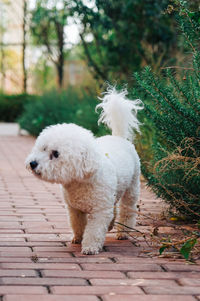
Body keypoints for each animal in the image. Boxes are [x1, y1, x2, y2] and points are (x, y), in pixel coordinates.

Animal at [25, 86, 143, 253]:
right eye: (43, 148)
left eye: (56, 153)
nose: (33, 163)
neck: (80, 180)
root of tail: (118, 137)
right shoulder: (74, 209)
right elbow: (78, 224)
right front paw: (78, 238)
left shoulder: (99, 211)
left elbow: (94, 230)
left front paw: (90, 247)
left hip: (132, 188)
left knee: (128, 210)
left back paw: (123, 232)